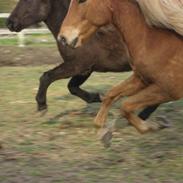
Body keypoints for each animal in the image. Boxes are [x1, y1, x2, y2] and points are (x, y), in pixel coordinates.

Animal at [58, 0, 183, 134]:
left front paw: (151, 126)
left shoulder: (169, 90)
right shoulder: (142, 79)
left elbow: (125, 105)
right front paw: (103, 129)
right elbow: (111, 95)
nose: (62, 38)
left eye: (82, 1)